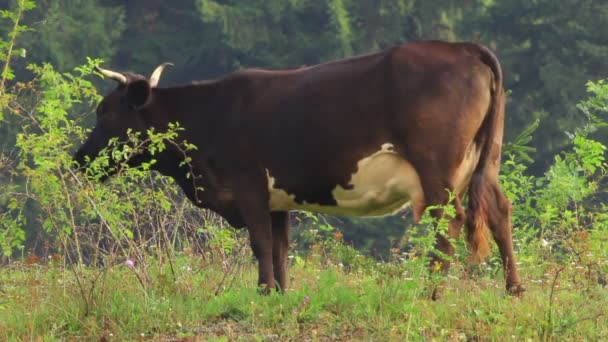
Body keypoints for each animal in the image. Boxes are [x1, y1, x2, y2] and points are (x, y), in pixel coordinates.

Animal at [73, 40, 524, 296]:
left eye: (105, 111)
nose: (79, 159)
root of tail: (461, 47)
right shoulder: (277, 200)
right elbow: (280, 248)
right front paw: (281, 293)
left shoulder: (248, 186)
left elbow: (260, 243)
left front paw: (263, 292)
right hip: (485, 160)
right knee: (498, 210)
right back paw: (514, 288)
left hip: (436, 167)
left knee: (450, 220)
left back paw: (430, 292)